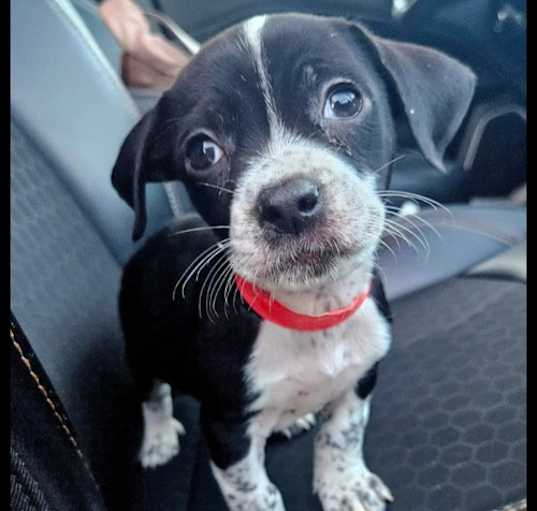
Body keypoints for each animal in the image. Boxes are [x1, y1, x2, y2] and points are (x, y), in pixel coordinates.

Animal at [110, 13, 474, 511]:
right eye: (202, 151)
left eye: (344, 100)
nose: (286, 203)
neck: (312, 315)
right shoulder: (226, 431)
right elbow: (256, 493)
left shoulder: (361, 377)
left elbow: (341, 435)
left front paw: (346, 485)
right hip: (139, 345)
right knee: (152, 394)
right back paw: (159, 439)